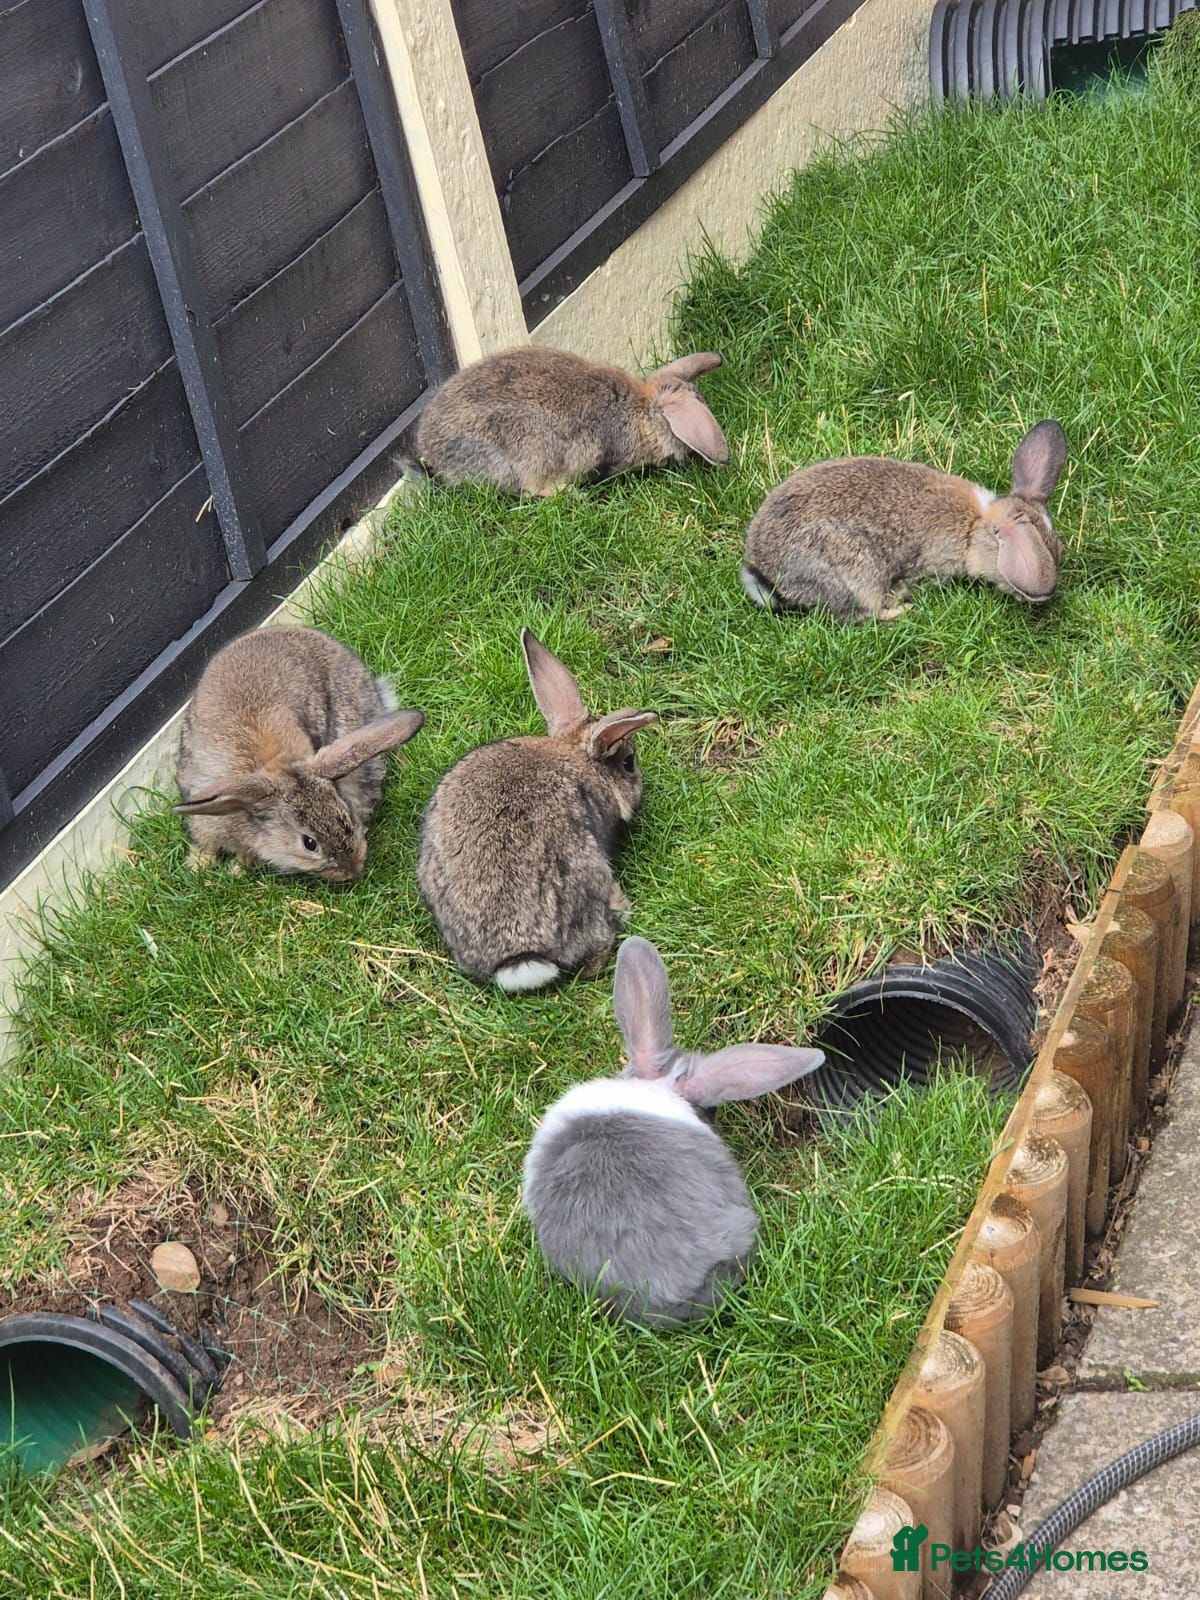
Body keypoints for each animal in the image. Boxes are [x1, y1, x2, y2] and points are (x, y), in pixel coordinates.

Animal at [174, 625, 424, 882]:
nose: (353, 870)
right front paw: (198, 866)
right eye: (309, 843)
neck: (275, 765)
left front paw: (236, 868)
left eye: (345, 815)